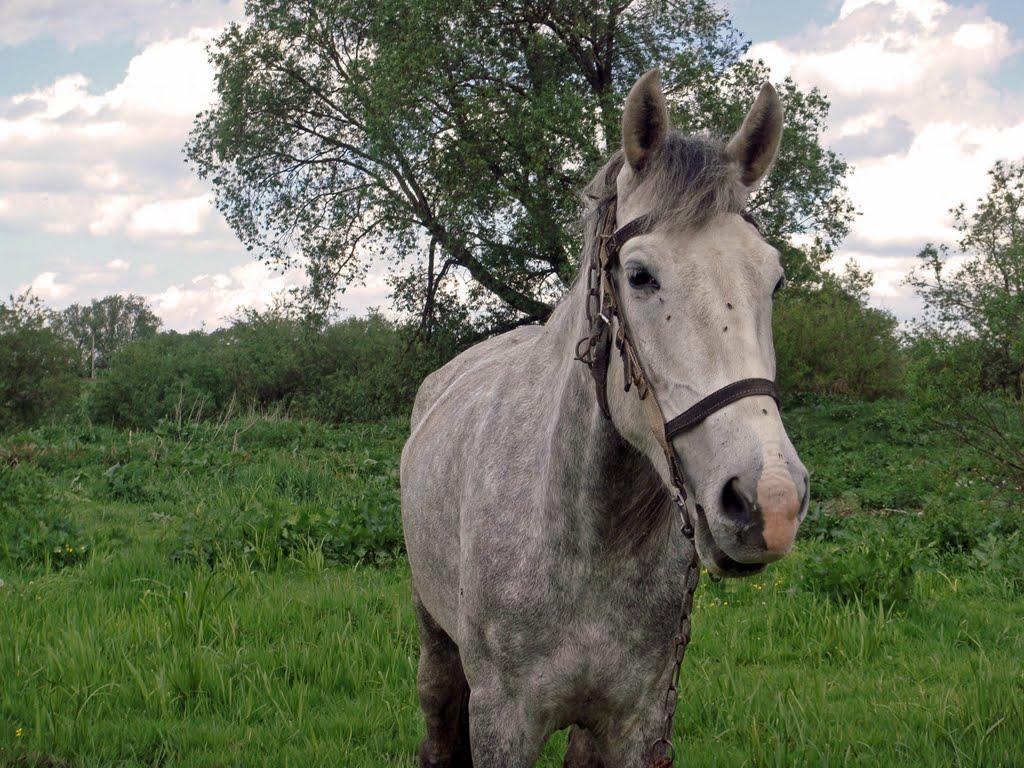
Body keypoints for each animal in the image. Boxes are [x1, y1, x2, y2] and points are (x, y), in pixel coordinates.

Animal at [399, 69, 806, 765]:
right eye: (639, 276)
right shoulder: (503, 721)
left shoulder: (636, 723)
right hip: (435, 640)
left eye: (773, 281)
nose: (770, 501)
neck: (588, 537)